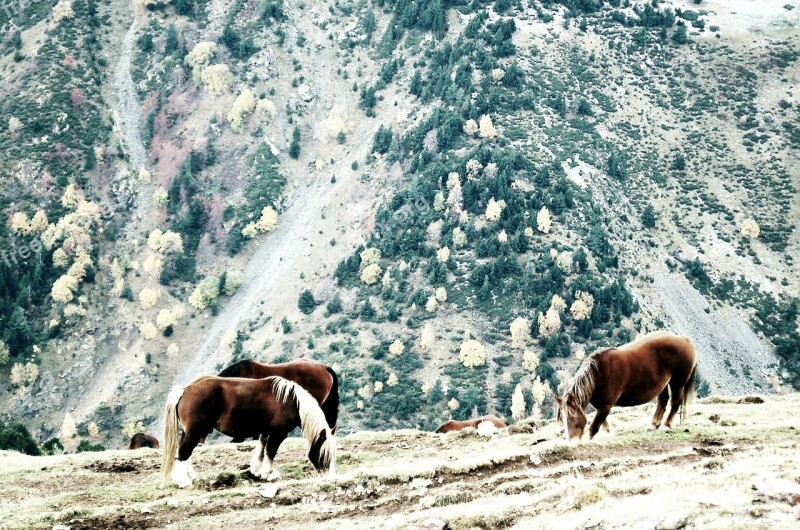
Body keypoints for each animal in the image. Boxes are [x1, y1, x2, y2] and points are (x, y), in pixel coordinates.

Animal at [161, 374, 336, 484]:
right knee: (184, 452)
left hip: (191, 431)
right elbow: (270, 452)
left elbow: (261, 450)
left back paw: (190, 476)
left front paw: (256, 471)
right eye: (325, 452)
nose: (329, 476)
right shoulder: (278, 433)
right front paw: (268, 474)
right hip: (194, 431)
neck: (291, 400)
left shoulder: (266, 431)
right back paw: (184, 481)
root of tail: (185, 390)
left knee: (185, 452)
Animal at [552, 330, 696, 442]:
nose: (572, 441)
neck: (598, 375)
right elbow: (603, 424)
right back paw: (654, 425)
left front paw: (588, 440)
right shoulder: (601, 407)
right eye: (562, 419)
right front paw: (610, 434)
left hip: (678, 382)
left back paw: (667, 425)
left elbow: (594, 426)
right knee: (663, 401)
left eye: (572, 417)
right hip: (664, 384)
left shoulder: (605, 406)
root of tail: (683, 339)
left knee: (675, 402)